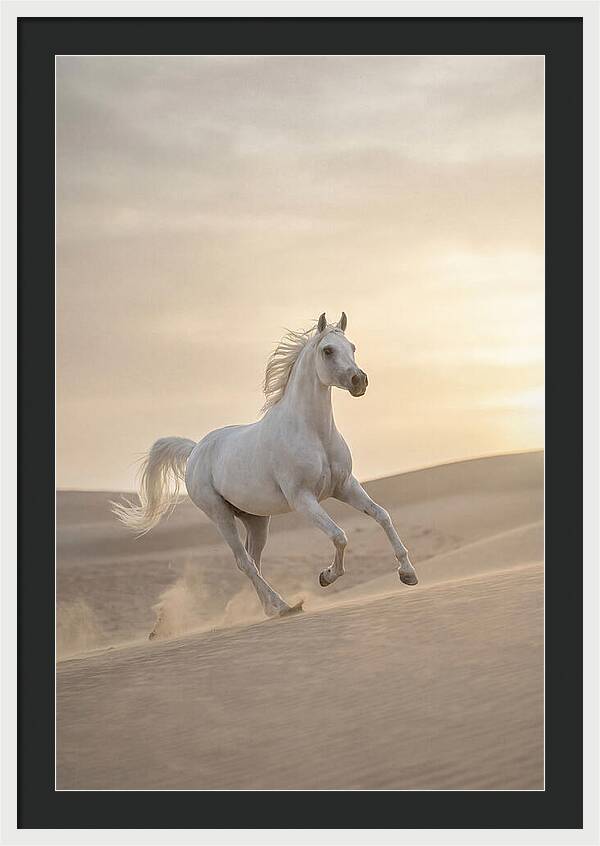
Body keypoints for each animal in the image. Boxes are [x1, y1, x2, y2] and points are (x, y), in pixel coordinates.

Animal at [112, 312, 418, 621]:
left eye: (353, 347)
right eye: (328, 350)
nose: (359, 381)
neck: (314, 433)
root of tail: (196, 449)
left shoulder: (345, 486)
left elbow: (382, 515)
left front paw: (408, 574)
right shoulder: (303, 499)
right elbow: (339, 536)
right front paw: (327, 576)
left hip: (256, 520)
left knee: (254, 560)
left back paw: (271, 608)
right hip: (220, 515)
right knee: (244, 562)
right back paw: (283, 606)